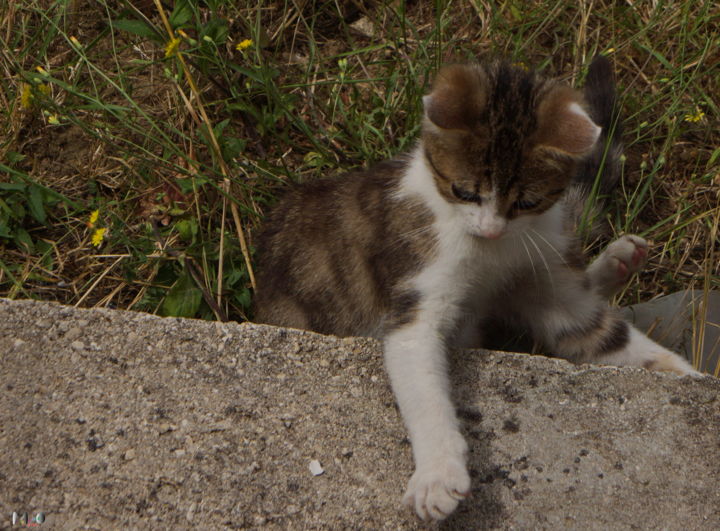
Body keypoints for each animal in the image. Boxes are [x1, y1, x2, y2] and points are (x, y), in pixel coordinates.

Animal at [252, 56, 692, 520]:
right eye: (463, 192)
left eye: (527, 202)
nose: (490, 230)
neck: (494, 256)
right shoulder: (417, 293)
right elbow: (422, 383)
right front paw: (437, 475)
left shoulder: (551, 287)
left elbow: (607, 337)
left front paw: (688, 376)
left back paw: (620, 260)